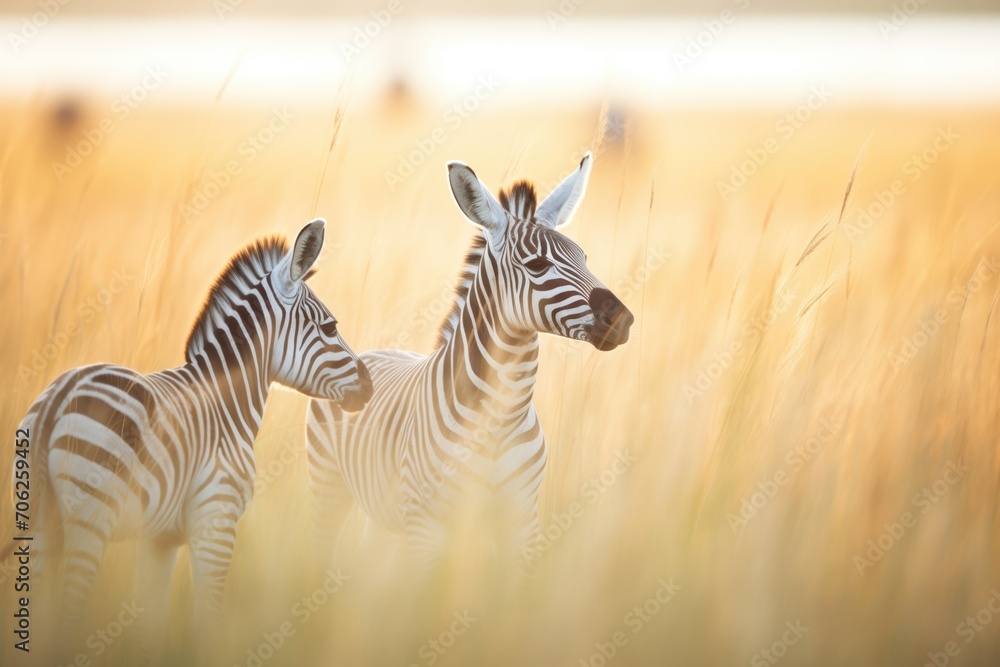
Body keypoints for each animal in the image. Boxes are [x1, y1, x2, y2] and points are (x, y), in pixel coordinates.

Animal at [9, 219, 372, 657]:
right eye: (331, 327)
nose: (369, 386)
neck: (225, 402)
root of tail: (57, 398)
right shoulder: (217, 520)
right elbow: (207, 620)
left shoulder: (160, 539)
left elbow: (151, 627)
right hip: (90, 518)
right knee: (67, 616)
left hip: (39, 523)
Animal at [305, 153, 634, 571]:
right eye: (538, 265)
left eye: (584, 258)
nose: (623, 320)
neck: (499, 415)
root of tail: (377, 351)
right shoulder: (428, 529)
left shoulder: (523, 523)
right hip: (328, 488)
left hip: (383, 512)